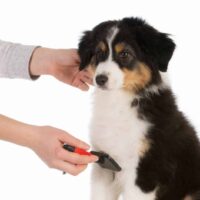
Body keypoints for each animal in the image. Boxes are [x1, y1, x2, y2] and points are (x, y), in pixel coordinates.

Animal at [77, 17, 200, 200]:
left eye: (125, 54)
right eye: (99, 53)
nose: (100, 79)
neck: (119, 102)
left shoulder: (145, 169)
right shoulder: (103, 165)